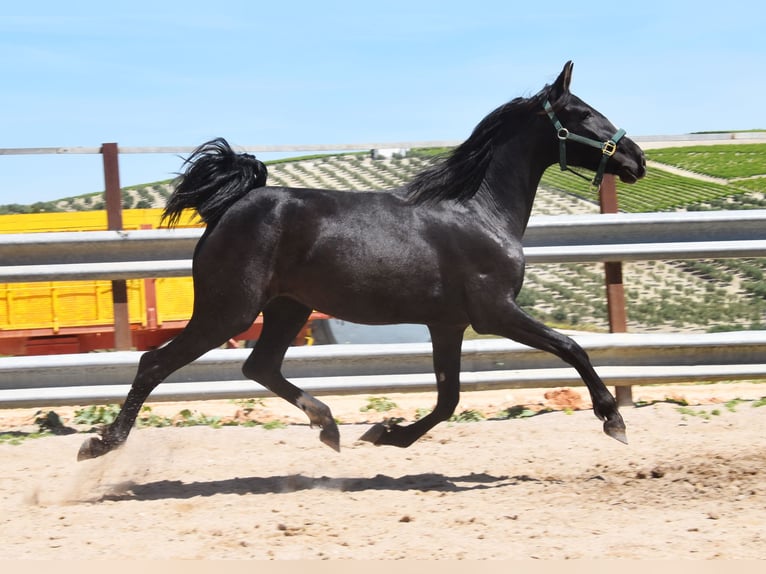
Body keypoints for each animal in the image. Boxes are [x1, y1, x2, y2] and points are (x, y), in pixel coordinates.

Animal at [78, 60, 644, 462]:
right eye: (583, 114)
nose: (636, 158)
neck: (479, 212)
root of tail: (229, 207)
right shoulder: (494, 312)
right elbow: (571, 347)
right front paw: (613, 420)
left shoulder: (448, 324)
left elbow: (449, 398)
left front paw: (386, 434)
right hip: (228, 311)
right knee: (155, 363)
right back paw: (101, 443)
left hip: (288, 307)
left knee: (260, 364)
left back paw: (328, 427)